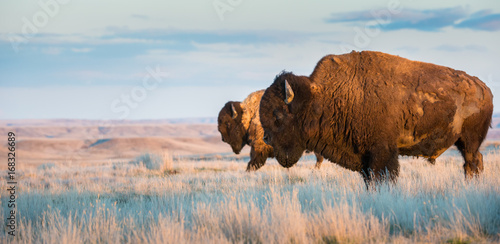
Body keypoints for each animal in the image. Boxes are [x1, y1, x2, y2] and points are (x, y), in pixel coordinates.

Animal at [260, 51, 494, 185]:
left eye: (278, 114)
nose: (266, 139)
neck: (321, 97)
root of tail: (484, 88)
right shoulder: (364, 157)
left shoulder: (382, 153)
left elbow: (384, 176)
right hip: (464, 142)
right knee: (474, 161)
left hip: (469, 140)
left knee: (472, 162)